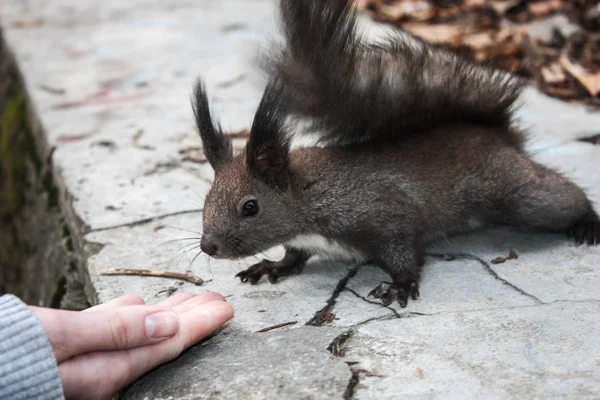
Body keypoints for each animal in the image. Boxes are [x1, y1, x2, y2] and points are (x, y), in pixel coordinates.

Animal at [195, 0, 596, 306]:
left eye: (250, 207)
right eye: (206, 198)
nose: (208, 246)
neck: (309, 195)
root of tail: (495, 132)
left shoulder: (384, 214)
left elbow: (404, 251)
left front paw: (399, 286)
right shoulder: (303, 240)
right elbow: (294, 257)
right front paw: (273, 265)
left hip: (513, 193)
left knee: (561, 197)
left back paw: (588, 223)